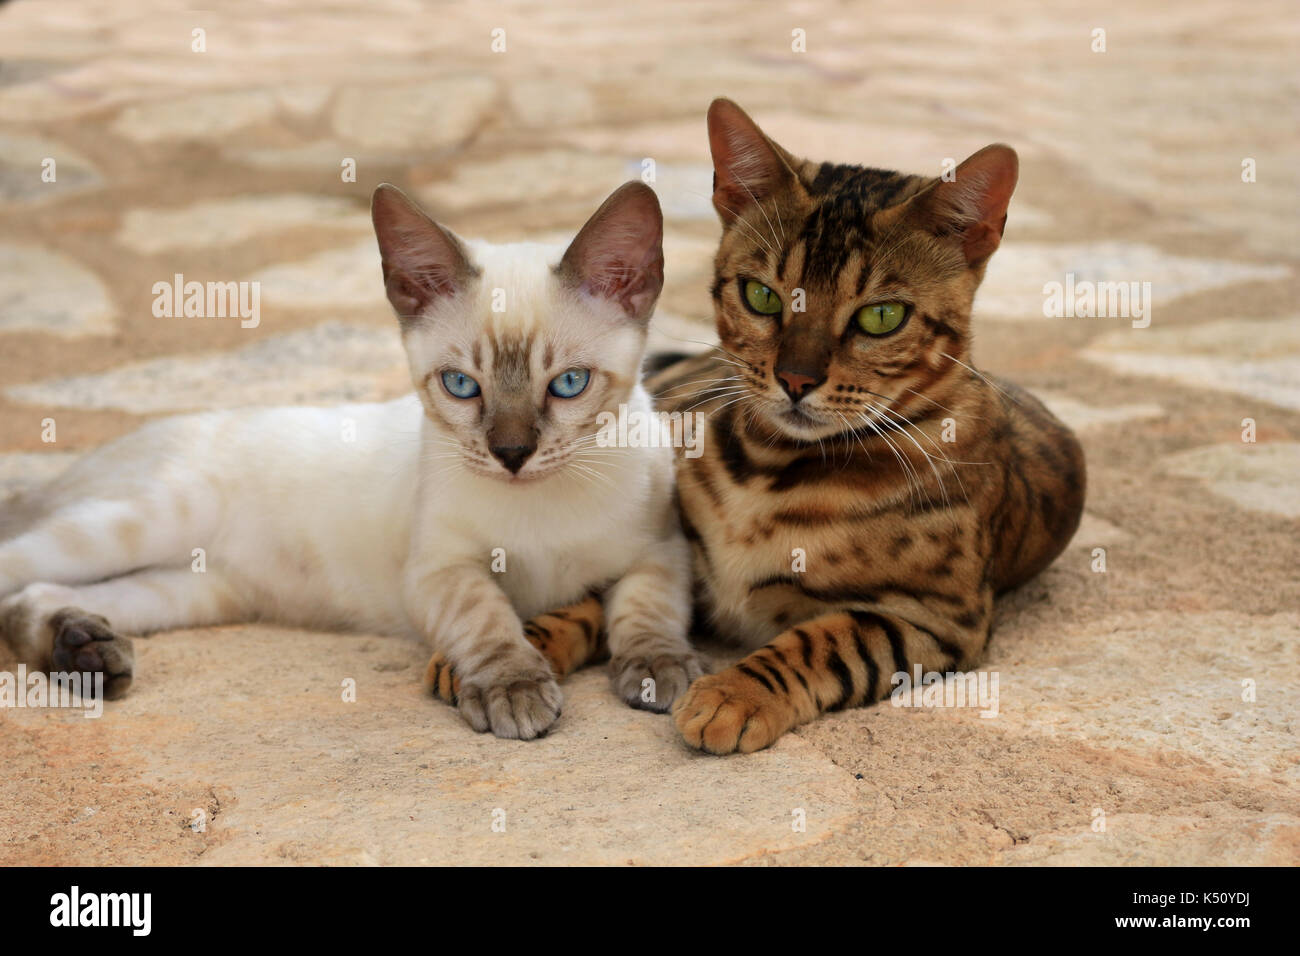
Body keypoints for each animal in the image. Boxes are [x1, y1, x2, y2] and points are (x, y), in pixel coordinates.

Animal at [0, 183, 702, 743]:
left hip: (188, 589)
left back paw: (86, 652)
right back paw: (82, 654)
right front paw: (515, 689)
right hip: (133, 527)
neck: (544, 502)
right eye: (461, 386)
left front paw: (659, 671)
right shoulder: (440, 570)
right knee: (19, 572)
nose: (511, 455)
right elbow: (490, 619)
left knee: (35, 596)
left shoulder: (660, 551)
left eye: (569, 384)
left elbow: (648, 612)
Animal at [642, 97, 1086, 754]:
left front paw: (734, 694)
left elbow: (822, 642)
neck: (767, 469)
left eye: (882, 316)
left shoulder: (933, 618)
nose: (795, 379)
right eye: (760, 296)